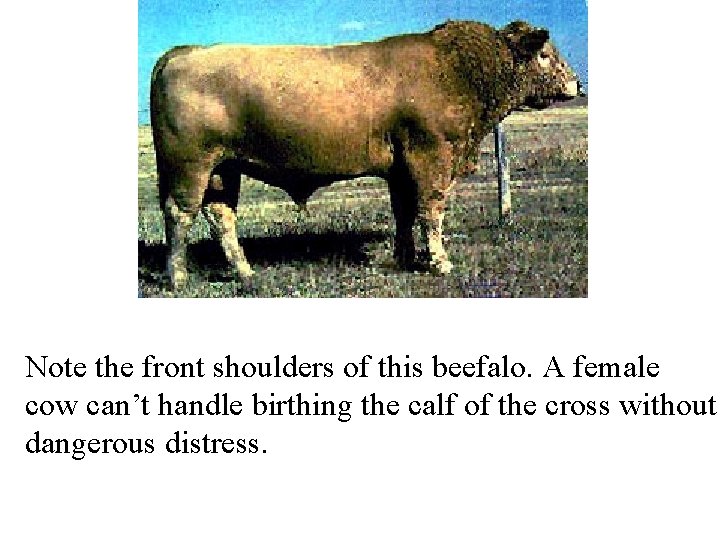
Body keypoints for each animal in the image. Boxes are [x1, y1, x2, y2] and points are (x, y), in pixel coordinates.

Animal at [150, 20, 581, 289]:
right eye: (544, 53)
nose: (578, 83)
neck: (454, 69)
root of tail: (185, 52)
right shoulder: (432, 157)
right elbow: (431, 211)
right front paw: (439, 262)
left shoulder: (401, 168)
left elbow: (405, 212)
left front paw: (406, 257)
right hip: (191, 166)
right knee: (180, 214)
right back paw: (179, 277)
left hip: (224, 169)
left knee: (220, 215)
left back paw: (245, 272)